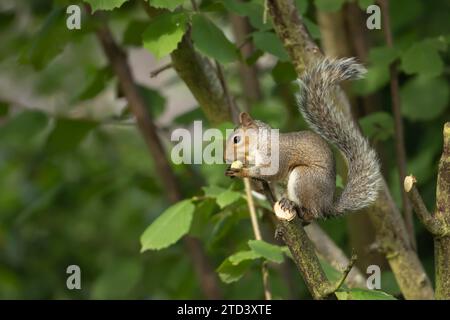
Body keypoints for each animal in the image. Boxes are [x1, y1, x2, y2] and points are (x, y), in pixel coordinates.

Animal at [223, 57, 382, 221]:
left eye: (236, 140)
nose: (225, 158)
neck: (260, 143)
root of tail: (326, 206)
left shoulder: (276, 156)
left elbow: (270, 172)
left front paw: (241, 172)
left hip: (304, 178)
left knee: (311, 212)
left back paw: (294, 206)